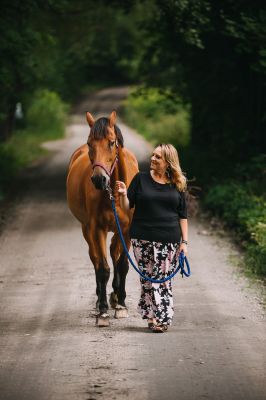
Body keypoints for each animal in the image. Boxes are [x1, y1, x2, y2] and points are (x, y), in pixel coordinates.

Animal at [66, 111, 138, 326]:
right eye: (90, 143)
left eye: (112, 142)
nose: (99, 179)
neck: (113, 192)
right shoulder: (96, 228)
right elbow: (103, 268)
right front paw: (104, 311)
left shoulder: (127, 230)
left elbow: (122, 265)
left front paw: (121, 305)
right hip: (86, 229)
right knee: (96, 259)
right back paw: (101, 299)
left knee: (114, 253)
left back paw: (116, 296)